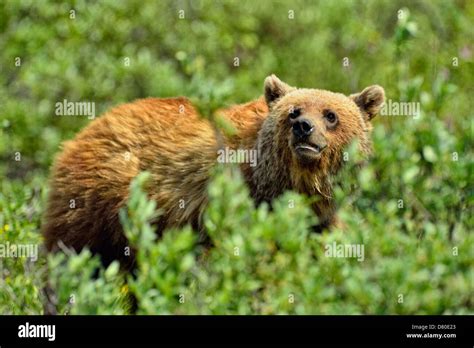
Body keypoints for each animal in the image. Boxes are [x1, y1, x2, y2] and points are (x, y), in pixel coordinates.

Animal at [42, 75, 386, 268]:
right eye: (293, 111)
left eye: (330, 115)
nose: (304, 127)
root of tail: (80, 134)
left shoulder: (322, 217)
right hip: (95, 204)